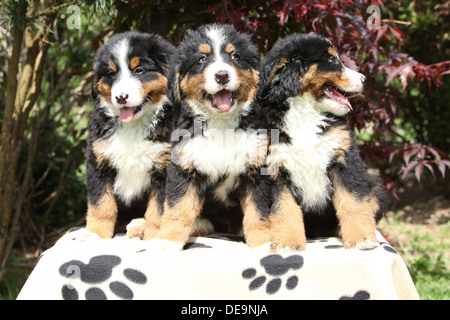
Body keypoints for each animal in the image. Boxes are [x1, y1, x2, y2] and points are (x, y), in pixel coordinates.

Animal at [85, 31, 177, 239]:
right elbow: (101, 205)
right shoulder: (99, 162)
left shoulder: (165, 168)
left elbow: (158, 210)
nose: (121, 97)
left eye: (139, 70)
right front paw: (95, 235)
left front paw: (154, 237)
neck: (133, 125)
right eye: (111, 74)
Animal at [144, 24, 268, 250]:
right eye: (201, 59)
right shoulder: (184, 167)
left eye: (235, 56)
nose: (222, 76)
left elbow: (258, 212)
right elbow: (178, 209)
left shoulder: (255, 170)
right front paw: (167, 240)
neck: (221, 124)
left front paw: (263, 242)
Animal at [258, 33, 388, 251]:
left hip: (375, 187)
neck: (307, 112)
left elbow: (353, 202)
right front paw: (287, 243)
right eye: (332, 60)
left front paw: (361, 238)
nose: (364, 79)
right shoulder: (276, 169)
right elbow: (284, 209)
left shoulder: (344, 160)